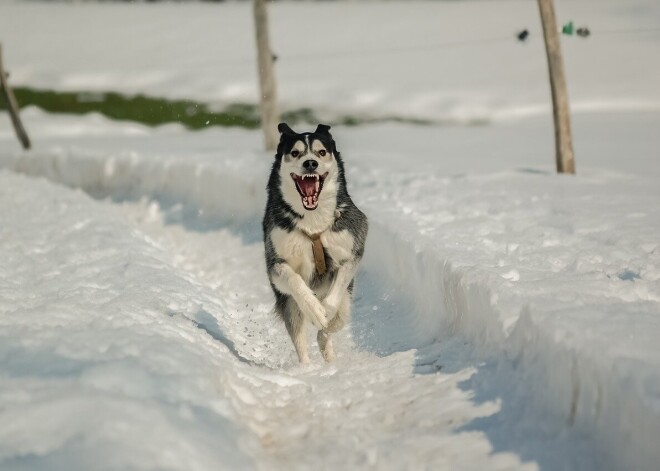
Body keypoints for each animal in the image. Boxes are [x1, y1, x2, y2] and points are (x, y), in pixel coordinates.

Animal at [262, 123, 366, 364]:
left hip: (348, 299)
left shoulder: (352, 247)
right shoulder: (275, 263)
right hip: (289, 305)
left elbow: (337, 290)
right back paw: (308, 367)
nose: (310, 163)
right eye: (295, 153)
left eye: (321, 152)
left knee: (337, 320)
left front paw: (325, 310)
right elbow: (293, 280)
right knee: (300, 339)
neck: (313, 221)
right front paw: (315, 310)